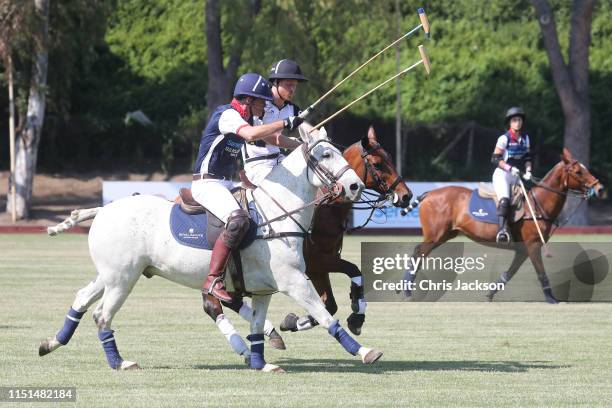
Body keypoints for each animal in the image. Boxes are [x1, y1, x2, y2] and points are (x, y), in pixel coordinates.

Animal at [38, 126, 384, 372]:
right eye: (324, 155)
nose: (354, 186)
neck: (278, 212)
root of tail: (103, 210)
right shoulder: (294, 281)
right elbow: (326, 316)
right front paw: (366, 351)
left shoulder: (265, 290)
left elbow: (257, 326)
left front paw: (261, 363)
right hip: (123, 278)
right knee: (102, 315)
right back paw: (119, 362)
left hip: (112, 273)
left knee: (83, 298)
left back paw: (52, 342)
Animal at [280, 126, 412, 334]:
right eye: (377, 164)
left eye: (390, 158)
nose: (406, 195)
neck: (328, 208)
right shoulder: (316, 261)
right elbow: (353, 269)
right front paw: (357, 315)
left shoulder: (318, 267)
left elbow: (330, 305)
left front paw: (292, 321)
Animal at [404, 147, 604, 302]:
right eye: (578, 172)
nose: (600, 189)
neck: (538, 204)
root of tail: (429, 194)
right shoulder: (533, 245)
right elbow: (541, 271)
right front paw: (551, 299)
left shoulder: (523, 249)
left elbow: (509, 273)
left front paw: (489, 294)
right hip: (435, 234)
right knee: (418, 253)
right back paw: (406, 291)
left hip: (445, 234)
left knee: (420, 254)